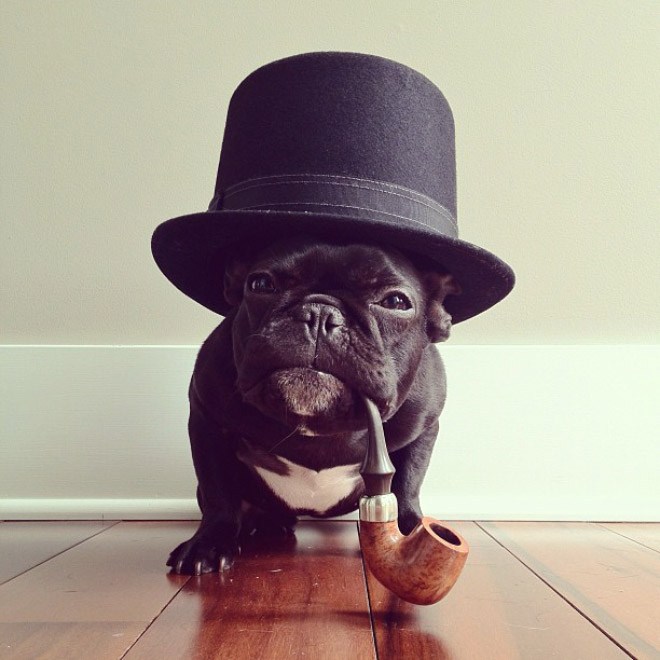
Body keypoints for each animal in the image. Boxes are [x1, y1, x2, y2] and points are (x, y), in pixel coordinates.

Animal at [167, 234, 460, 575]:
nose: (320, 312)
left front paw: (412, 529)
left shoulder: (424, 428)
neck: (321, 426)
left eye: (396, 302)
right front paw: (209, 543)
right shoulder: (207, 416)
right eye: (261, 284)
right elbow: (218, 489)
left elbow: (407, 484)